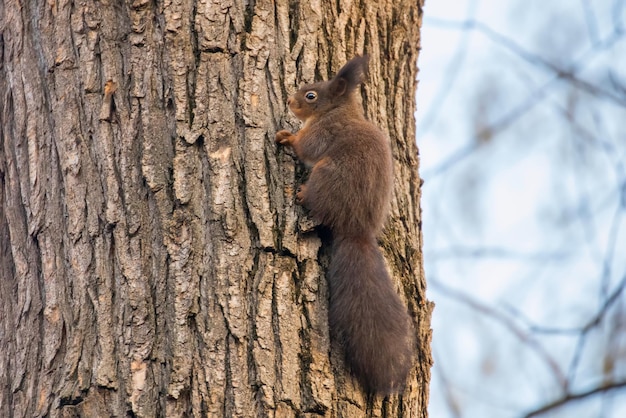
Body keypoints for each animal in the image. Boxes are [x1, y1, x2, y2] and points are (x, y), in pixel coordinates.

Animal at [274, 56, 412, 396]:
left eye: (311, 95)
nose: (290, 101)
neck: (337, 109)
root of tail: (357, 228)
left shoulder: (323, 132)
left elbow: (306, 147)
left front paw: (287, 137)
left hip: (326, 175)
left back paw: (300, 193)